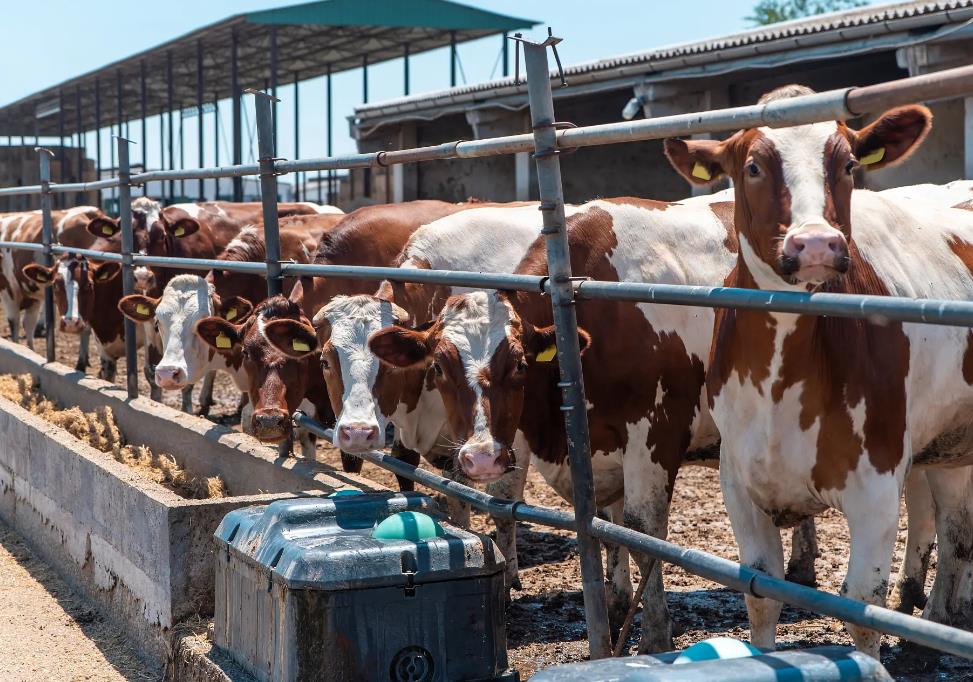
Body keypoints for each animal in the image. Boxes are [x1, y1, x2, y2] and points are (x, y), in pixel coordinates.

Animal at [664, 85, 972, 652]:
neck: (780, 382)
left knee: (954, 533)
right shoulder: (738, 482)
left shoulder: (876, 486)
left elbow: (862, 606)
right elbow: (762, 591)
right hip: (949, 444)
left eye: (849, 163)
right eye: (753, 166)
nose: (815, 244)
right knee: (954, 526)